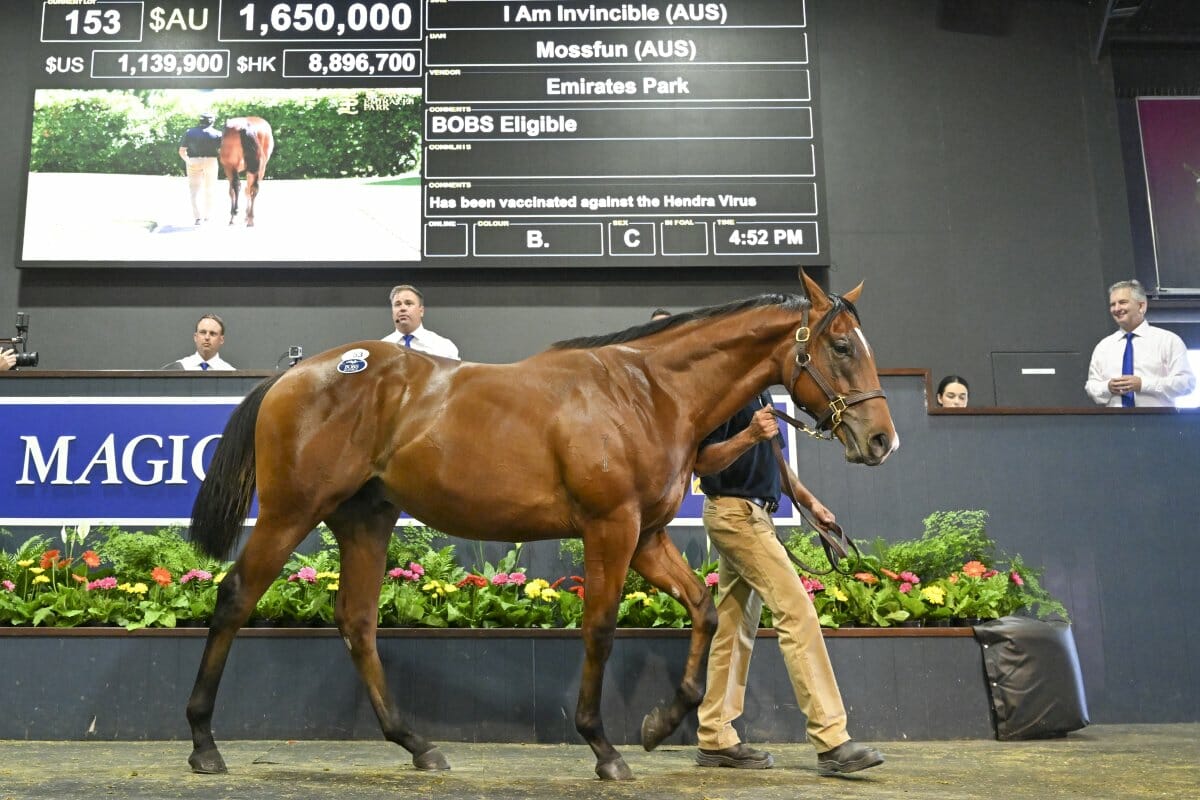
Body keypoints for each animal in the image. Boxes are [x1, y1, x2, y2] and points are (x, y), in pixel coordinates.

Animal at [187, 273, 897, 782]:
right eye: (840, 347)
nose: (881, 440)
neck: (648, 392)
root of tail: (297, 372)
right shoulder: (610, 528)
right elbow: (600, 630)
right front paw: (604, 747)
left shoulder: (647, 535)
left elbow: (703, 609)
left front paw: (659, 724)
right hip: (291, 512)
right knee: (235, 599)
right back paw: (203, 743)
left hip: (365, 517)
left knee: (357, 622)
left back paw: (418, 745)